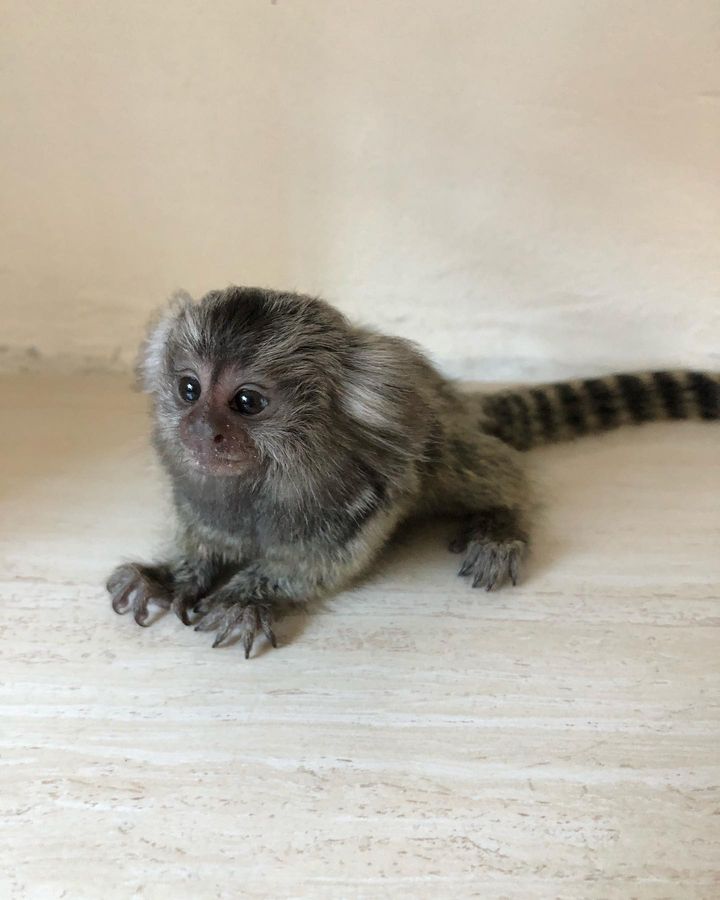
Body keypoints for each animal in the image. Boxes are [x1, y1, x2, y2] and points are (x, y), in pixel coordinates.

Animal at [107, 286, 720, 658]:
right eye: (189, 389)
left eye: (246, 402)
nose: (199, 429)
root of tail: (458, 402)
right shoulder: (202, 506)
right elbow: (202, 544)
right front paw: (171, 576)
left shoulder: (362, 502)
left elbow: (316, 564)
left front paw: (246, 598)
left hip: (441, 445)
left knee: (485, 467)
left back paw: (500, 525)